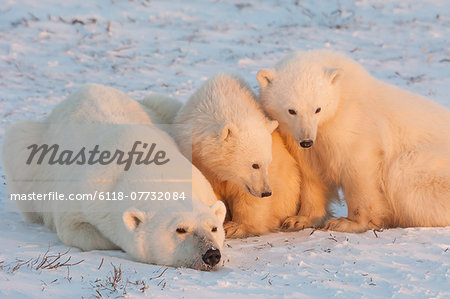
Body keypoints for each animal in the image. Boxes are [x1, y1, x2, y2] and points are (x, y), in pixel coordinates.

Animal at [256, 49, 450, 233]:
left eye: (318, 109)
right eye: (291, 110)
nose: (306, 141)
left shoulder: (353, 123)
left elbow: (358, 170)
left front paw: (346, 223)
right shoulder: (302, 140)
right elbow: (311, 174)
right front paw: (298, 220)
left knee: (401, 172)